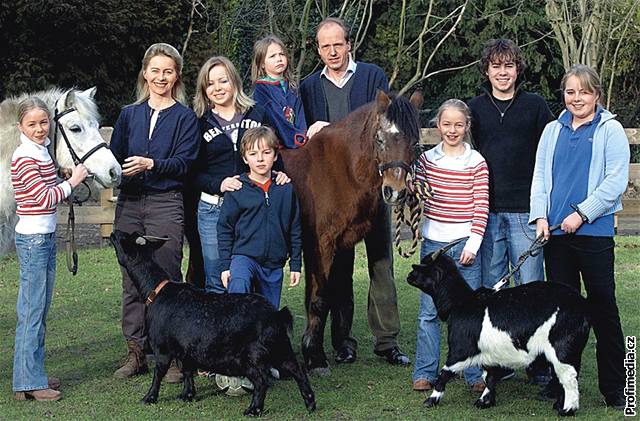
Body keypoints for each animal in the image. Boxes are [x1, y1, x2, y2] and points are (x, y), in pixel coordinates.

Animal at [114, 231, 318, 416]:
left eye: (124, 239)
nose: (114, 233)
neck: (156, 291)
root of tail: (276, 315)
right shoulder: (186, 350)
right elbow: (187, 371)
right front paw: (187, 395)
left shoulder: (162, 347)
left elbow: (159, 372)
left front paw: (149, 397)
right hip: (281, 347)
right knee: (298, 371)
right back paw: (310, 403)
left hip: (252, 356)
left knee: (261, 381)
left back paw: (254, 409)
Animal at [404, 238, 592, 416]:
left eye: (423, 267)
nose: (409, 275)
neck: (463, 302)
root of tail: (582, 304)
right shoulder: (490, 354)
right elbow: (489, 376)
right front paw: (485, 401)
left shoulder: (460, 350)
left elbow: (444, 373)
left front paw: (431, 400)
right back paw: (559, 405)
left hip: (561, 350)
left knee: (568, 377)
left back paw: (567, 410)